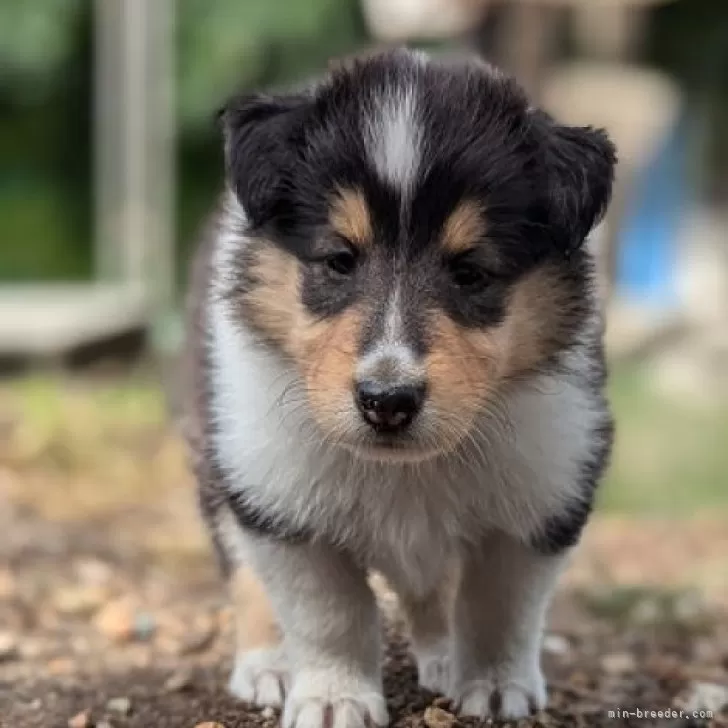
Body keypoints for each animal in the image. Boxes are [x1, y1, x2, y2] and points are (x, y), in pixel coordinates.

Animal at [185, 49, 616, 728]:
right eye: (339, 260)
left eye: (471, 273)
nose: (387, 403)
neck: (405, 470)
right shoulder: (277, 495)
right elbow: (328, 612)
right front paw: (332, 697)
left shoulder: (545, 490)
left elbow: (501, 606)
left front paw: (495, 687)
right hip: (218, 449)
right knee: (244, 567)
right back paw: (268, 665)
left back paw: (440, 658)